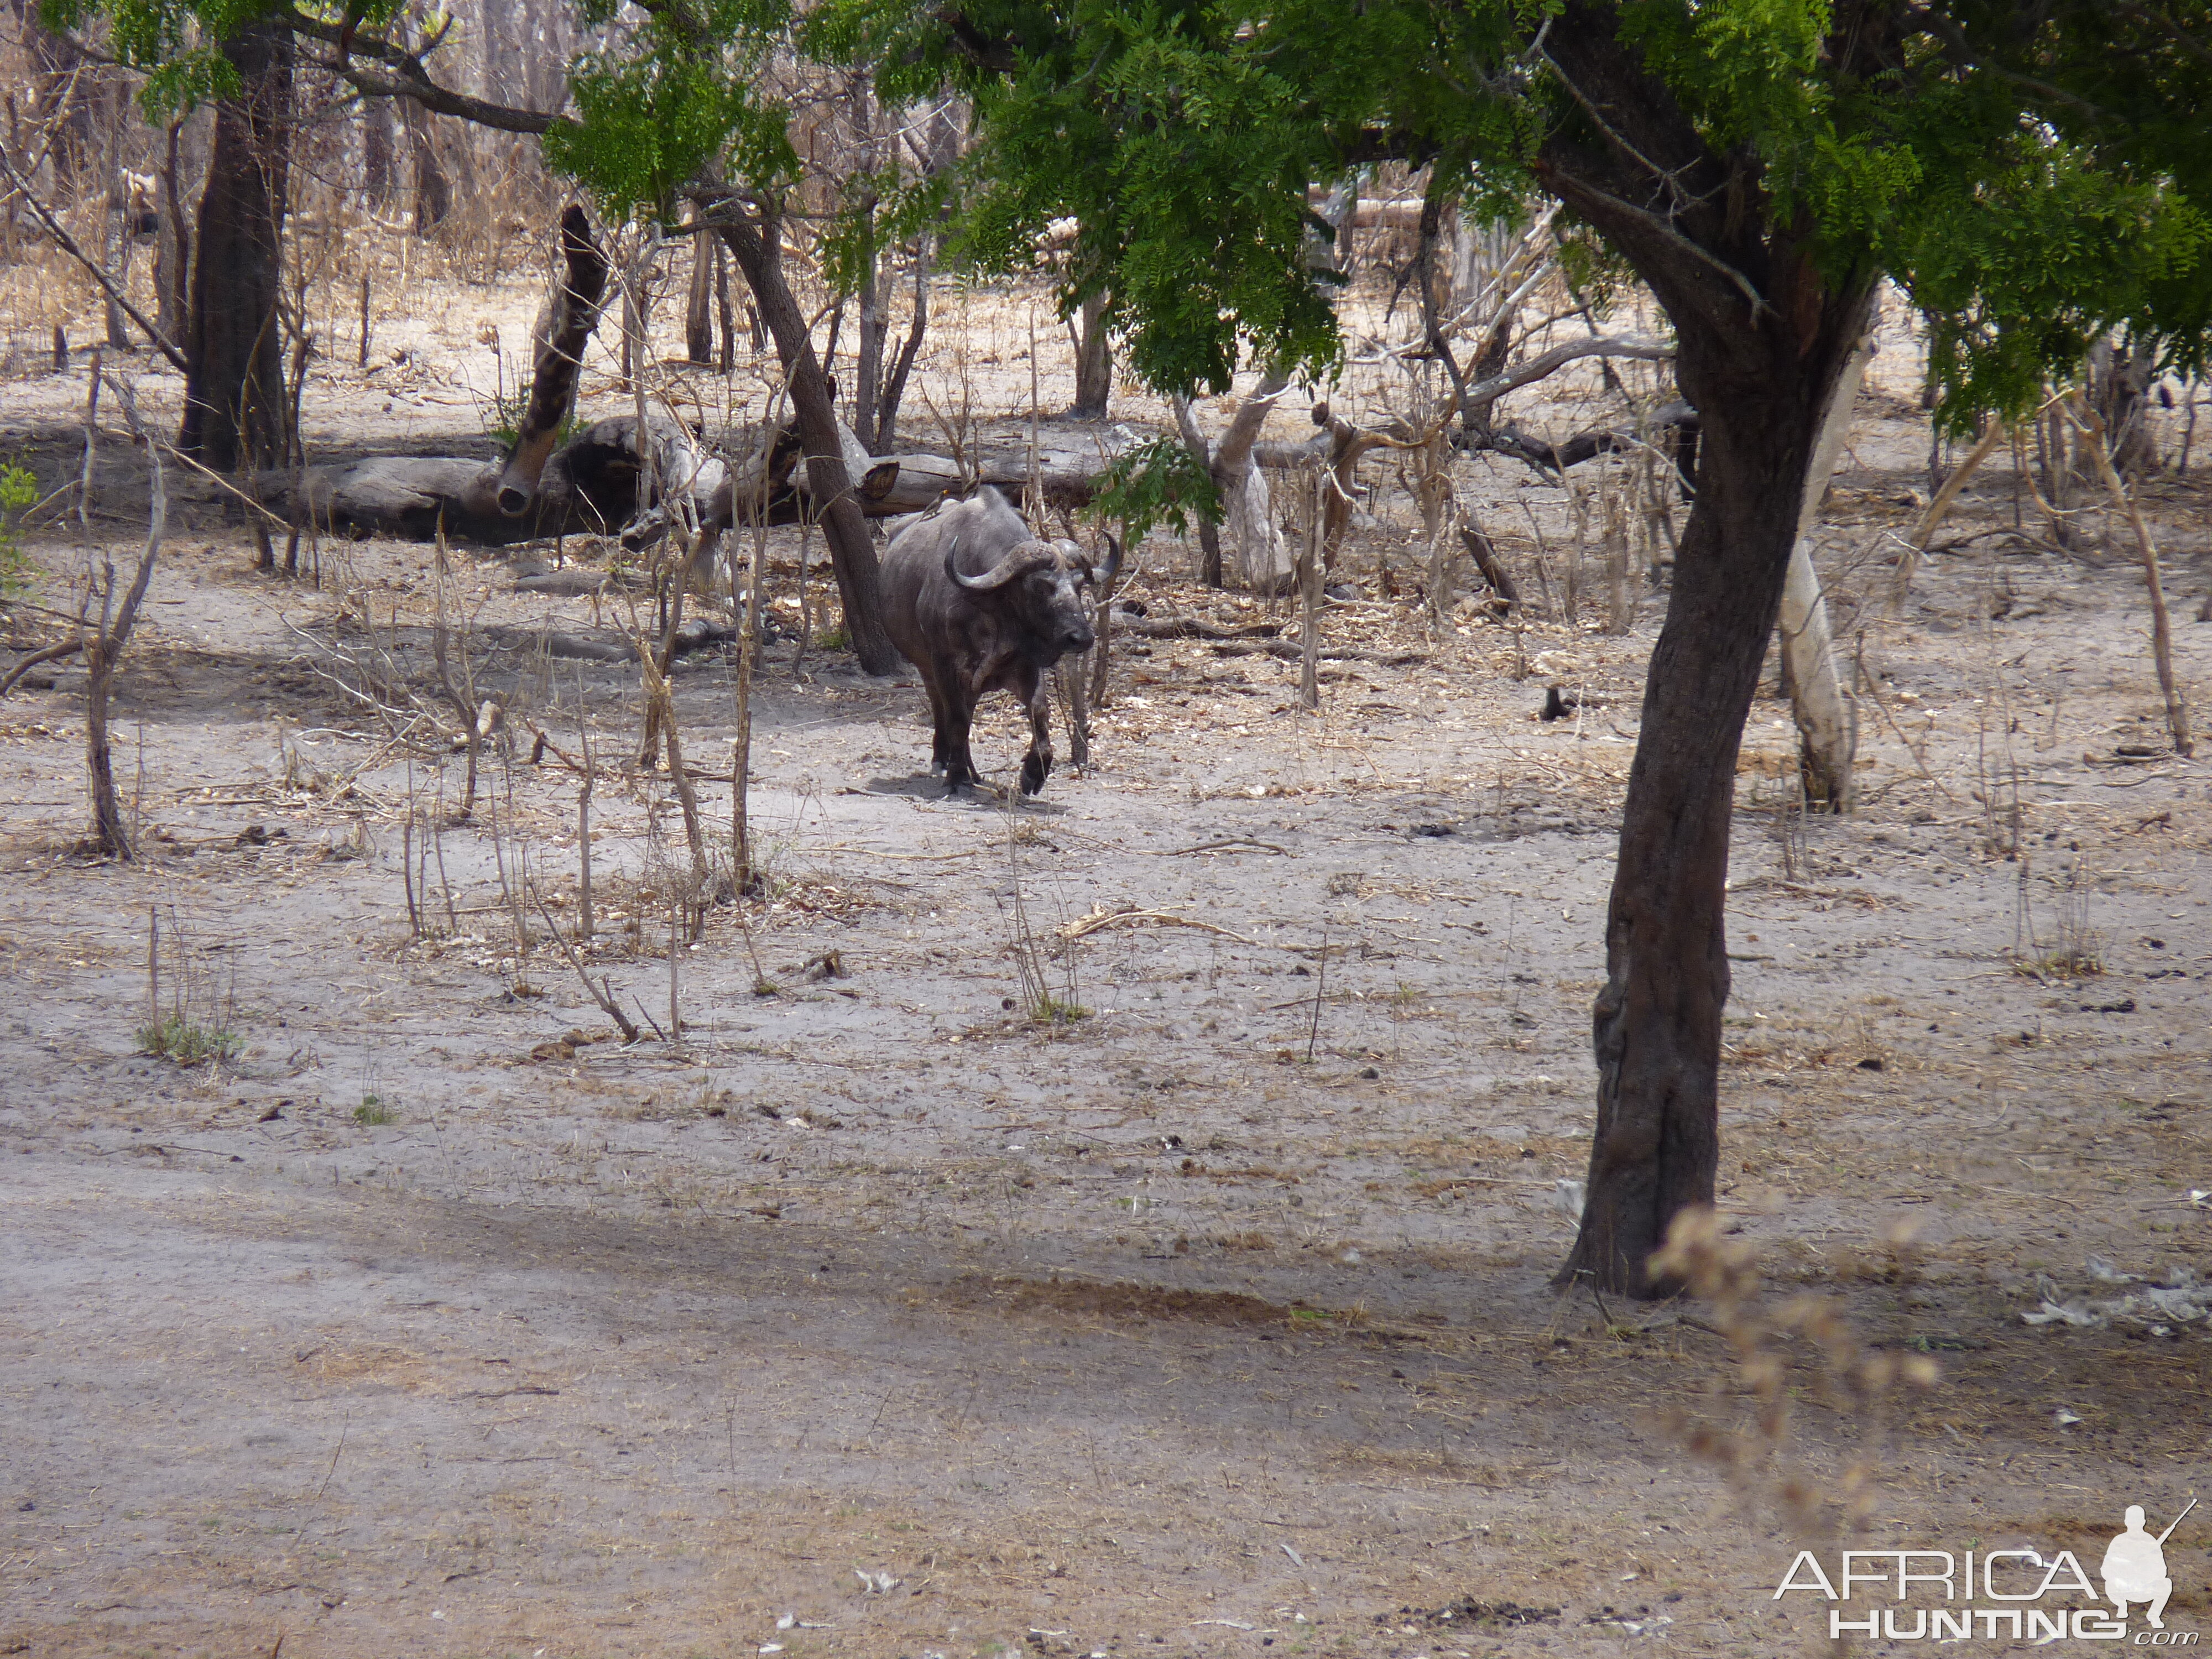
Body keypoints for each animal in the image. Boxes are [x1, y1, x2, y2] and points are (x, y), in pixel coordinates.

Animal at [880, 487, 1124, 801]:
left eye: (1080, 585)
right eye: (1040, 586)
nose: (1081, 637)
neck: (992, 615)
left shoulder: (1025, 666)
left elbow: (1039, 712)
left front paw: (1033, 774)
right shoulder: (944, 664)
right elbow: (956, 719)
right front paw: (956, 776)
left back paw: (973, 772)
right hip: (926, 667)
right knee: (942, 709)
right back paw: (946, 762)